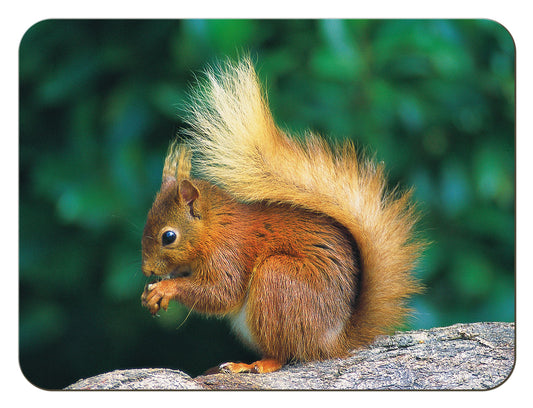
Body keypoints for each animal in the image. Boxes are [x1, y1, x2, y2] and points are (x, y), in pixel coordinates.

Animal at [139, 57, 422, 372]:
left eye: (169, 237)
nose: (147, 270)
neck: (214, 228)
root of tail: (331, 341)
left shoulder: (229, 253)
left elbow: (222, 292)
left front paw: (166, 288)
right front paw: (151, 293)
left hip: (277, 282)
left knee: (284, 353)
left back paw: (252, 365)